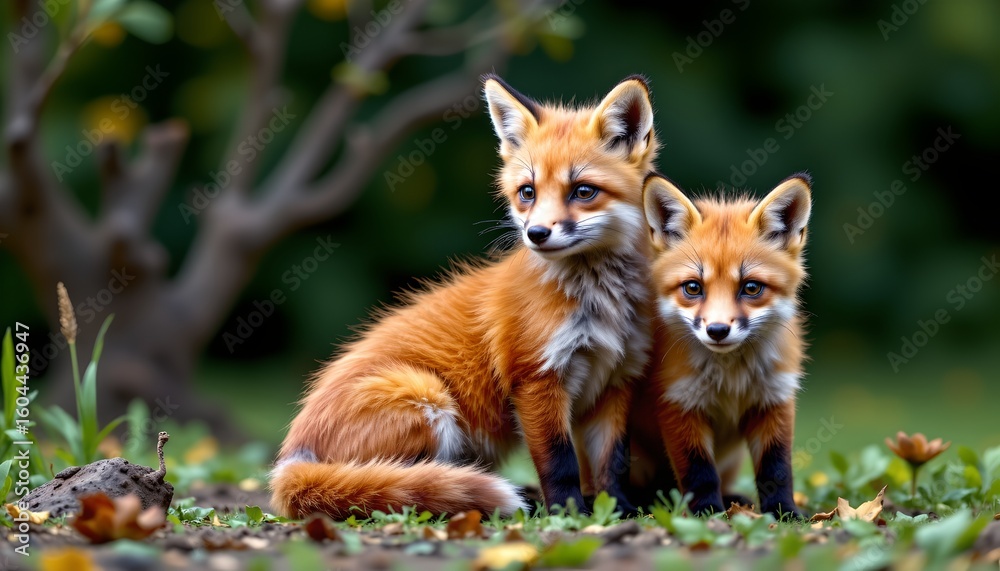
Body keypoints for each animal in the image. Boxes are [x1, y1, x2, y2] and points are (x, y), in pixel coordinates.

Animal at [270, 74, 659, 520]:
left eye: (583, 191)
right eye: (528, 192)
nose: (536, 234)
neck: (599, 302)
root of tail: (289, 458)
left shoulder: (616, 380)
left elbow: (611, 463)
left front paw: (618, 511)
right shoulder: (536, 378)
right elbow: (559, 463)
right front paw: (569, 512)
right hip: (427, 397)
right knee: (399, 483)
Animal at [627, 173, 812, 518]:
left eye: (751, 288)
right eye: (693, 288)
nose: (717, 330)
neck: (731, 378)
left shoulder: (775, 399)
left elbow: (776, 469)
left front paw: (784, 512)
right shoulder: (679, 403)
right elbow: (698, 471)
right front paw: (706, 513)